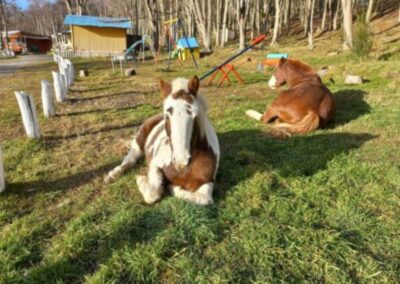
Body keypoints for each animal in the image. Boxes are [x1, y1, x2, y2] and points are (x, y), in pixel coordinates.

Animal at [104, 76, 220, 205]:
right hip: (139, 142)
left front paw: (173, 188)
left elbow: (204, 199)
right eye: (167, 115)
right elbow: (153, 194)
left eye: (194, 115)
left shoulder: (207, 182)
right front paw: (141, 180)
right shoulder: (155, 164)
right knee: (130, 159)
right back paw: (112, 175)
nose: (181, 162)